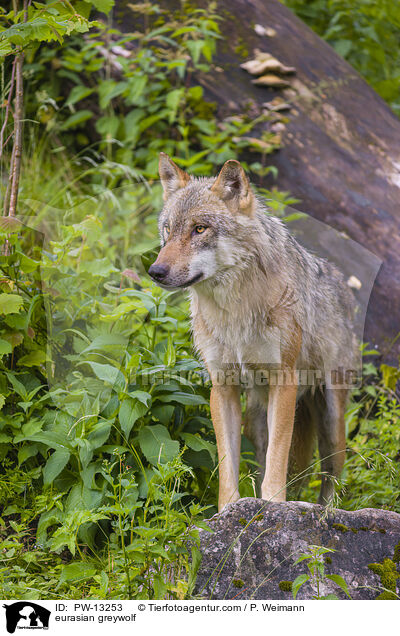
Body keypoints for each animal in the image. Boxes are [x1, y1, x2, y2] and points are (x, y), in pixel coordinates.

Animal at [147, 153, 356, 512]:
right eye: (168, 230)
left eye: (199, 229)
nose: (155, 271)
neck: (234, 310)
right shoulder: (223, 386)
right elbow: (227, 463)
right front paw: (230, 510)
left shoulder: (284, 381)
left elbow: (278, 457)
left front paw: (273, 505)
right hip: (256, 418)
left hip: (331, 422)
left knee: (330, 476)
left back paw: (326, 512)